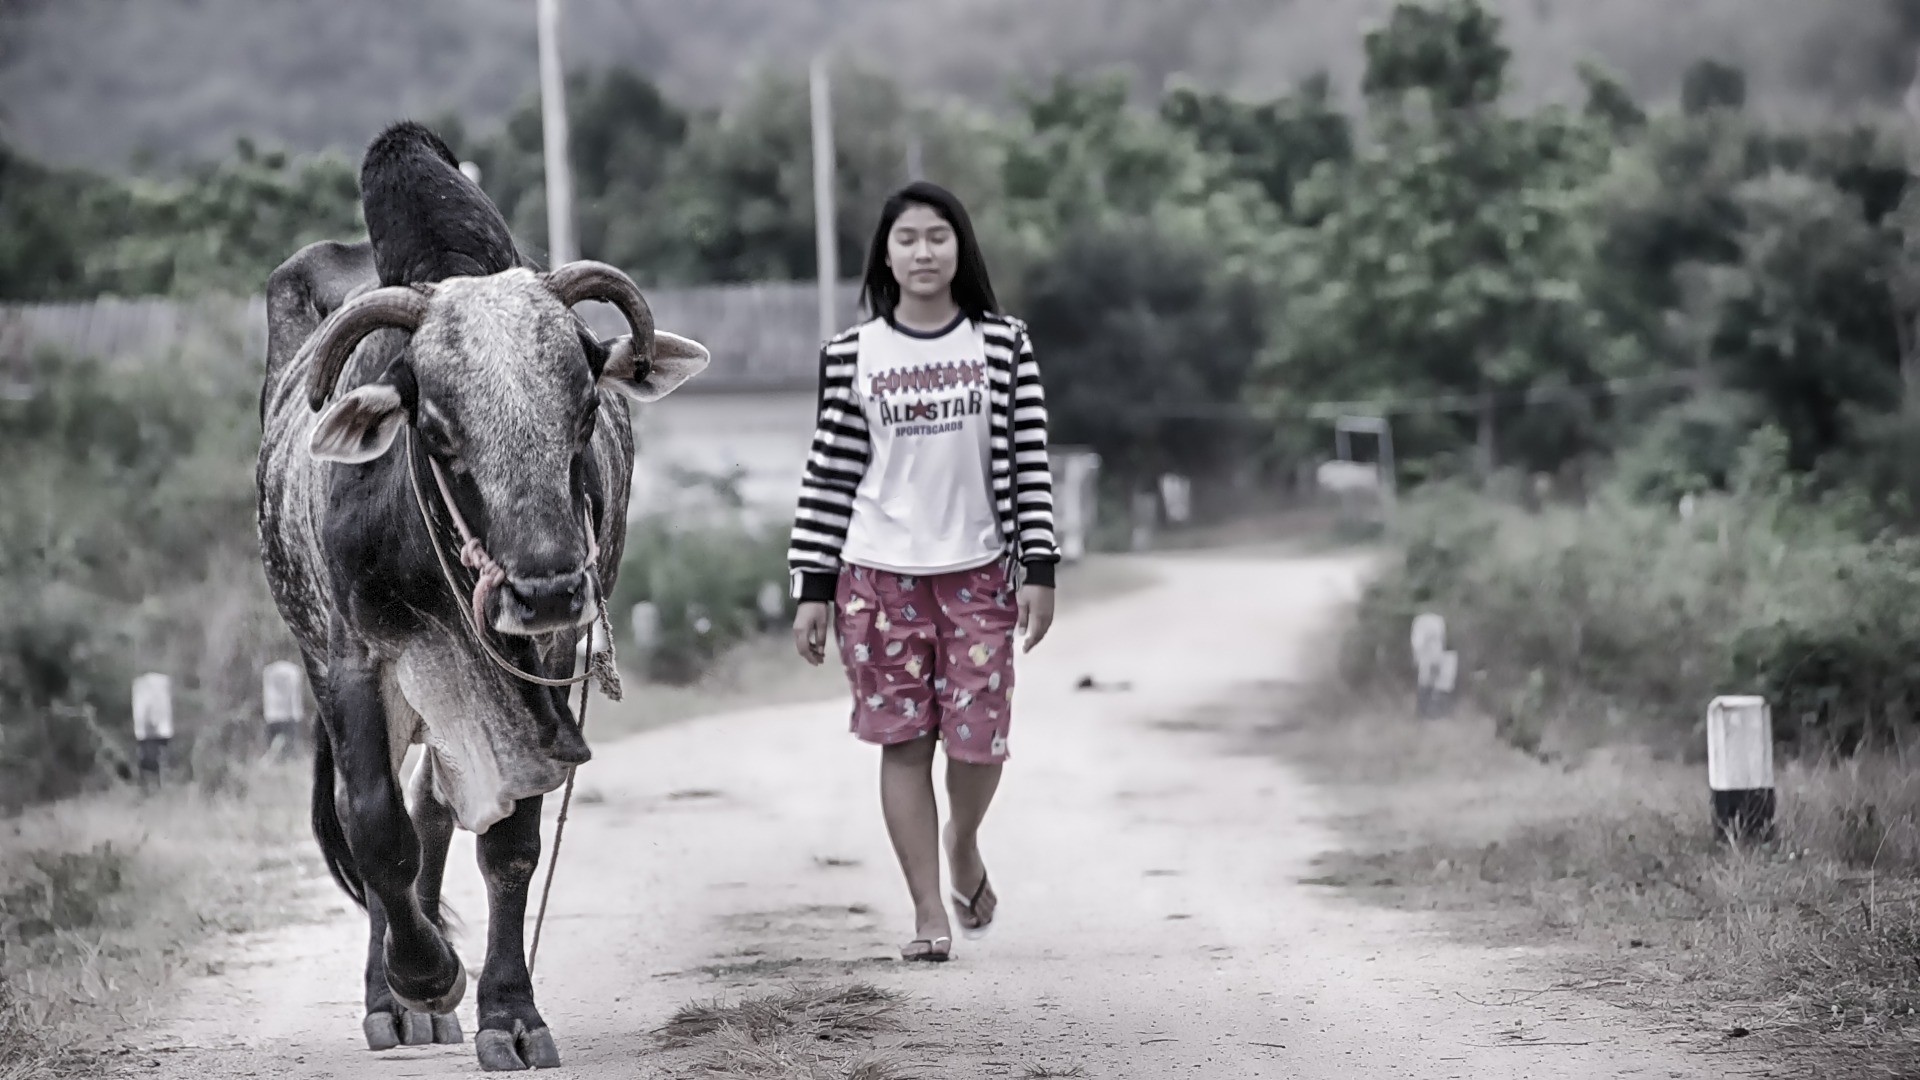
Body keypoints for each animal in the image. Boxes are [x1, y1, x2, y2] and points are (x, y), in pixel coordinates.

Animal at [251, 119, 710, 1068]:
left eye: (584, 409)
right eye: (436, 428)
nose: (547, 588)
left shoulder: (547, 669)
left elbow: (508, 845)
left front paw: (510, 1011)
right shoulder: (351, 659)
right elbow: (374, 826)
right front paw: (424, 977)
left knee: (433, 810)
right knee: (379, 813)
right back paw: (393, 997)